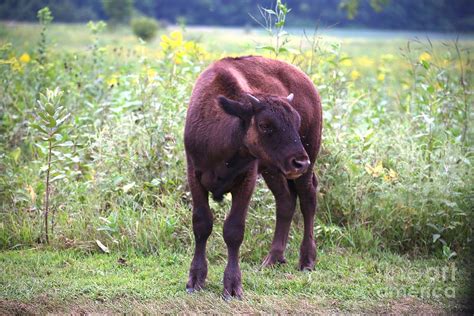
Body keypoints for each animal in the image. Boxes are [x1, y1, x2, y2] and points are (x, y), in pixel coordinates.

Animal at [183, 55, 324, 298]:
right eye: (265, 125)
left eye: (296, 122)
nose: (299, 162)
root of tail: (307, 82)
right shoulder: (194, 175)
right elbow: (202, 224)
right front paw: (195, 280)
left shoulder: (246, 181)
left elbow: (234, 230)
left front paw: (232, 287)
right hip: (273, 170)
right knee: (285, 201)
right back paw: (273, 259)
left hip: (307, 159)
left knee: (308, 200)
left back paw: (307, 260)